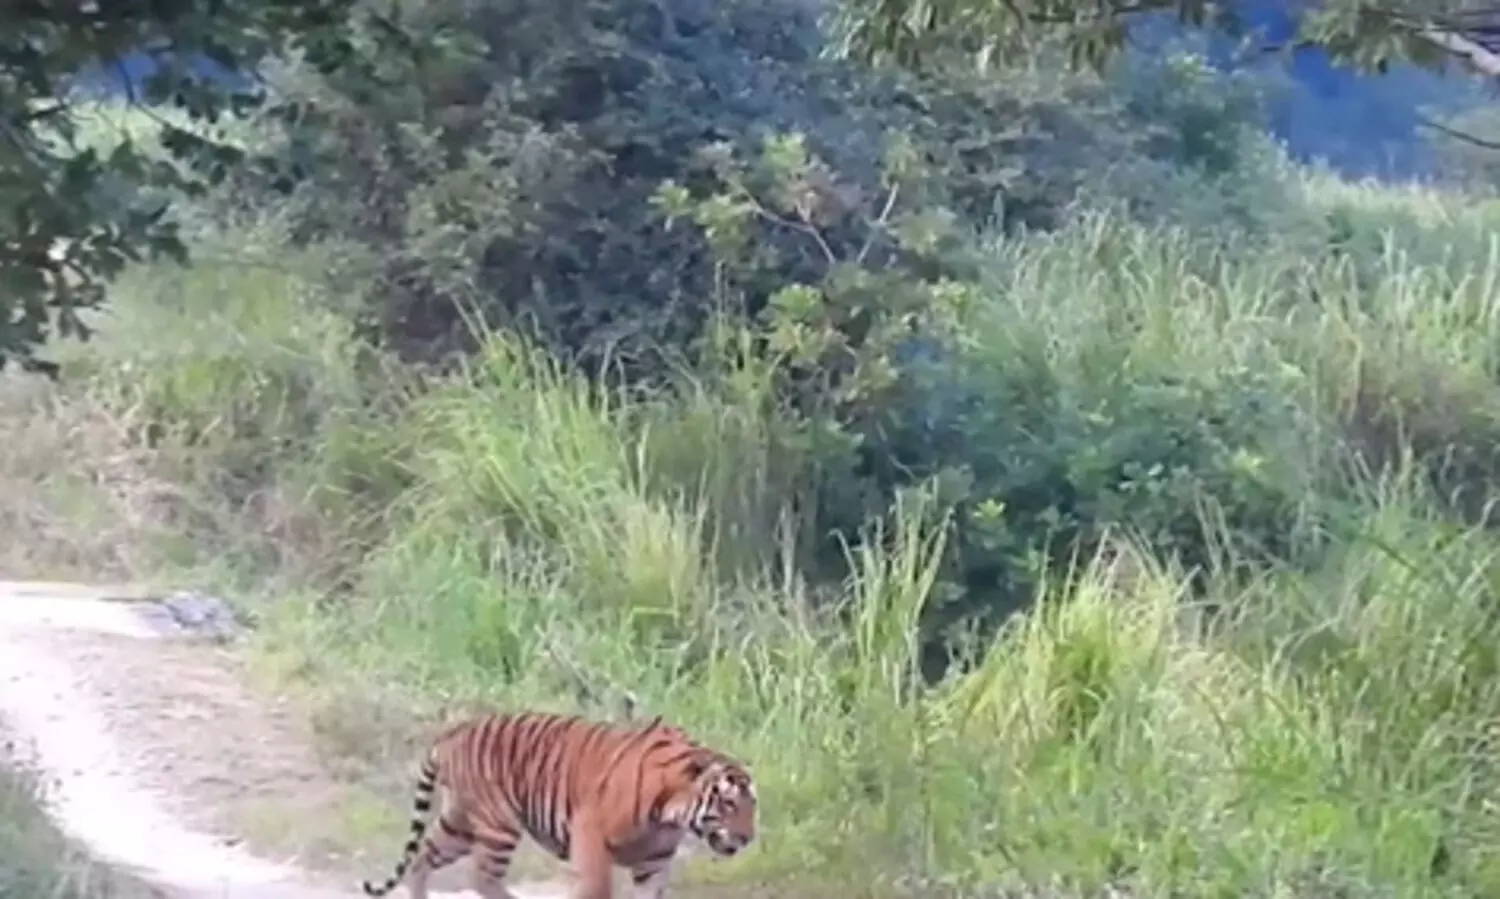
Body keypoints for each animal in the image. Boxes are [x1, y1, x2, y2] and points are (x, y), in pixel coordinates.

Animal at [359, 709, 757, 899]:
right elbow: (595, 888)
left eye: (753, 806)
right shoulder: (590, 831)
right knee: (482, 876)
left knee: (422, 858)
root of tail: (451, 734)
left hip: (460, 822)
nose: (749, 838)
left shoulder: (654, 860)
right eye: (729, 804)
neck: (671, 813)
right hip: (498, 823)